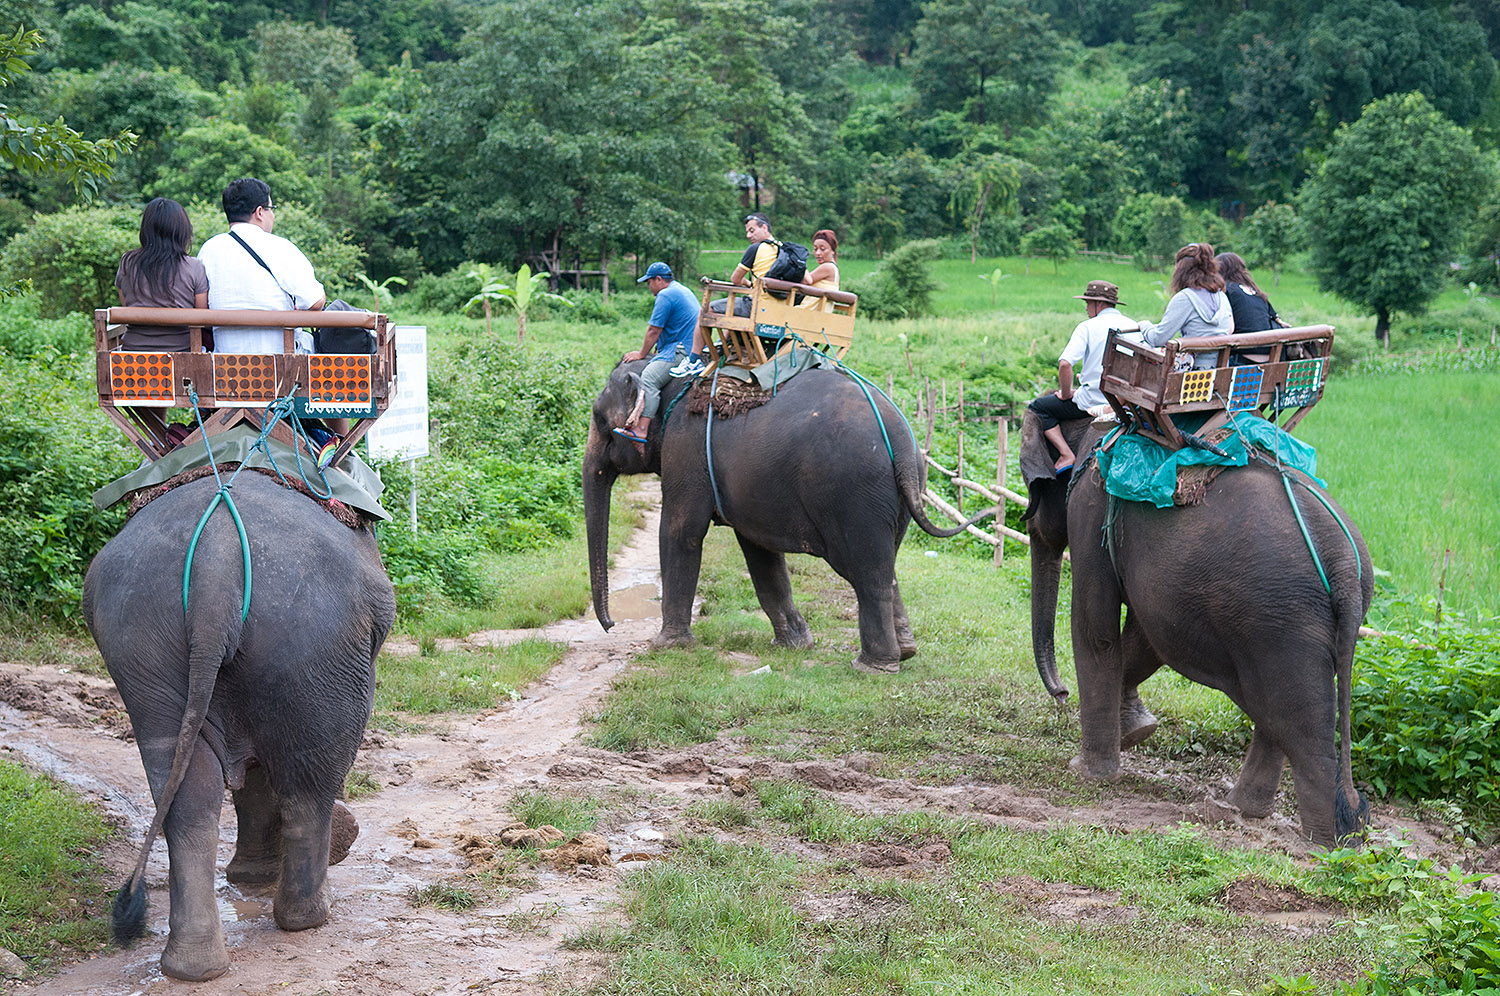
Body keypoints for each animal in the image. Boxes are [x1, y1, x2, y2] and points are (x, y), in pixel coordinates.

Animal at [83, 474, 393, 978]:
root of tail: (215, 561)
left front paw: (249, 877)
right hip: (315, 646)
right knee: (310, 776)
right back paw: (309, 916)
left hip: (143, 644)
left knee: (184, 789)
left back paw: (192, 966)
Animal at [579, 358, 990, 669]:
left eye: (599, 421)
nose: (611, 625)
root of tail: (902, 441)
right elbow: (758, 552)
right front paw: (794, 646)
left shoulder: (685, 445)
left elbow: (682, 531)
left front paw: (666, 646)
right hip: (899, 496)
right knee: (886, 568)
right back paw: (905, 652)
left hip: (854, 495)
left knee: (866, 572)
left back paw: (873, 665)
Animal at [1020, 414, 1374, 846]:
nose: (1061, 695)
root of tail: (1344, 565)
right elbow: (1147, 639)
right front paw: (1137, 730)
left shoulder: (1089, 506)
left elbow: (1097, 631)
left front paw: (1088, 772)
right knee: (1278, 709)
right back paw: (1244, 809)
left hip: (1280, 618)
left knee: (1298, 719)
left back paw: (1328, 845)